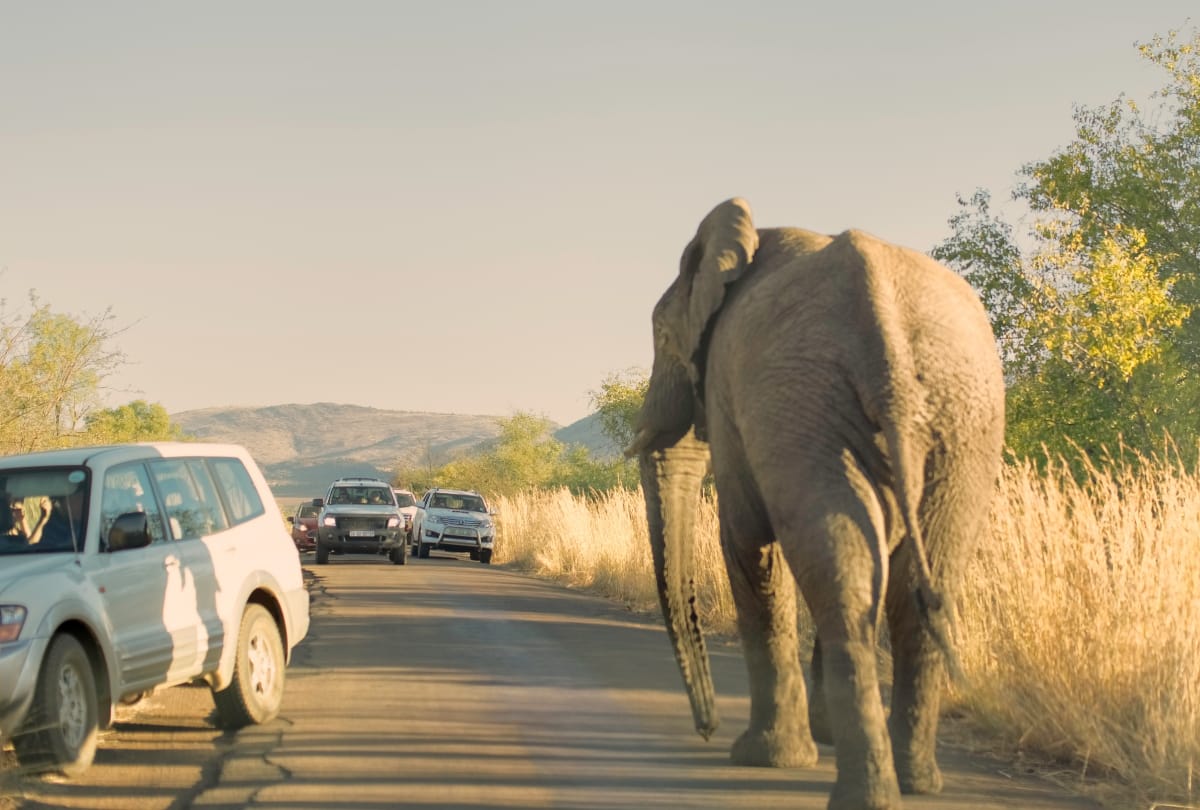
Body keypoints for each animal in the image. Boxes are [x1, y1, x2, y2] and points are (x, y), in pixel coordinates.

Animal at [626, 198, 1005, 810]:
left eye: (662, 333)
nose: (705, 728)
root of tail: (886, 336)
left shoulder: (733, 386)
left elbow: (746, 539)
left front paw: (764, 757)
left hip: (817, 402)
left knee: (839, 571)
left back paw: (861, 790)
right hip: (956, 418)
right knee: (904, 581)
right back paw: (914, 782)